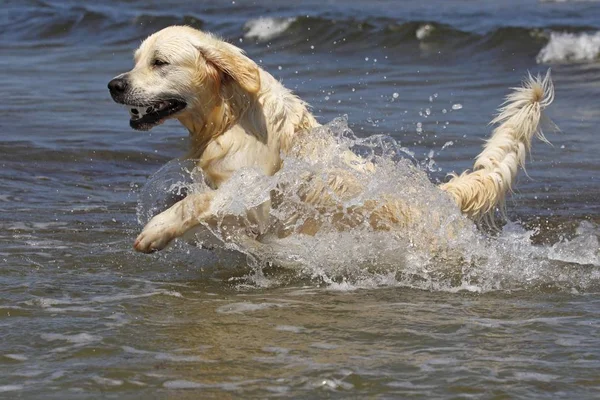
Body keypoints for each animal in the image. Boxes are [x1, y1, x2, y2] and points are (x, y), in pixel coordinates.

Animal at [106, 26, 552, 255]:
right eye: (135, 61)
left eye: (160, 63)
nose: (113, 85)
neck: (230, 117)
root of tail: (440, 196)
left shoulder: (254, 197)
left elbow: (197, 202)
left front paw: (156, 230)